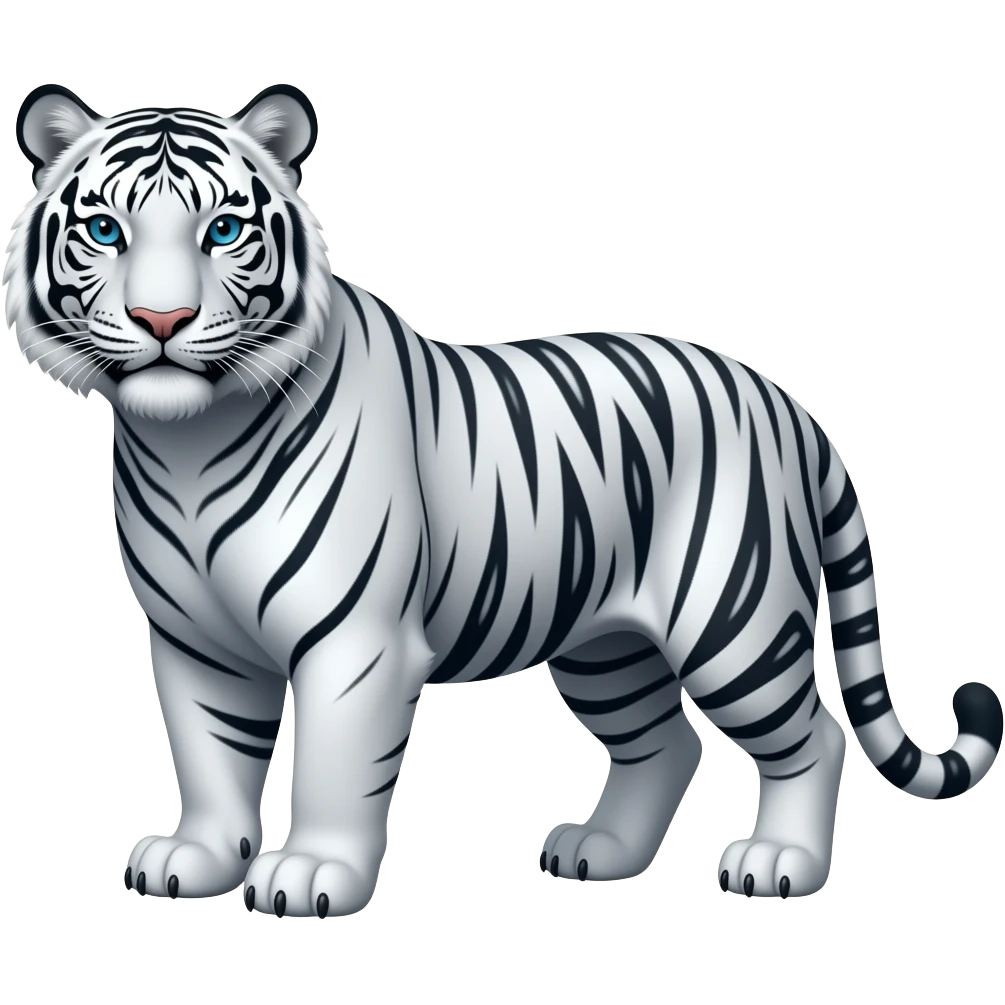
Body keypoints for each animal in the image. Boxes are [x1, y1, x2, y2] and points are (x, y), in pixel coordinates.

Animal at [4, 83, 1002, 919]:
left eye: (219, 232)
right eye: (104, 230)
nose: (161, 322)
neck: (186, 441)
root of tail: (784, 401)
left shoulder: (354, 642)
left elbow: (333, 761)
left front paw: (313, 874)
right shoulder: (193, 640)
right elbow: (209, 755)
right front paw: (197, 860)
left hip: (735, 621)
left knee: (814, 736)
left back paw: (777, 863)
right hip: (606, 645)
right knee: (664, 741)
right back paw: (600, 852)